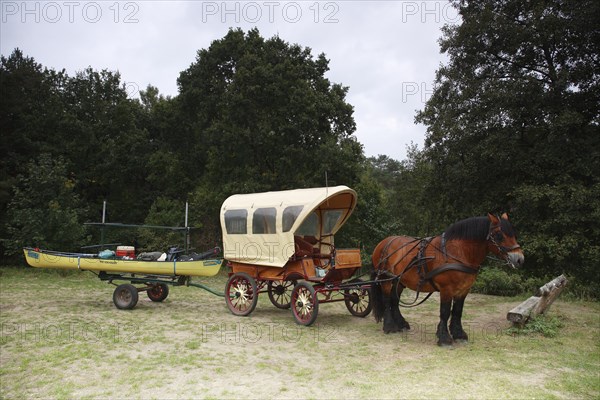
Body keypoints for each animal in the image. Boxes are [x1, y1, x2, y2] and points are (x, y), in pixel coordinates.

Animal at [370, 214, 524, 346]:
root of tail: (383, 242)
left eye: (513, 234)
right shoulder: (446, 289)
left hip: (400, 280)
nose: (519, 259)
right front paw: (444, 338)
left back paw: (401, 324)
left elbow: (457, 311)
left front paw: (459, 334)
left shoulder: (463, 289)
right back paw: (389, 326)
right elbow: (444, 312)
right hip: (386, 278)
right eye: (499, 235)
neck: (457, 252)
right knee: (387, 300)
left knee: (394, 300)